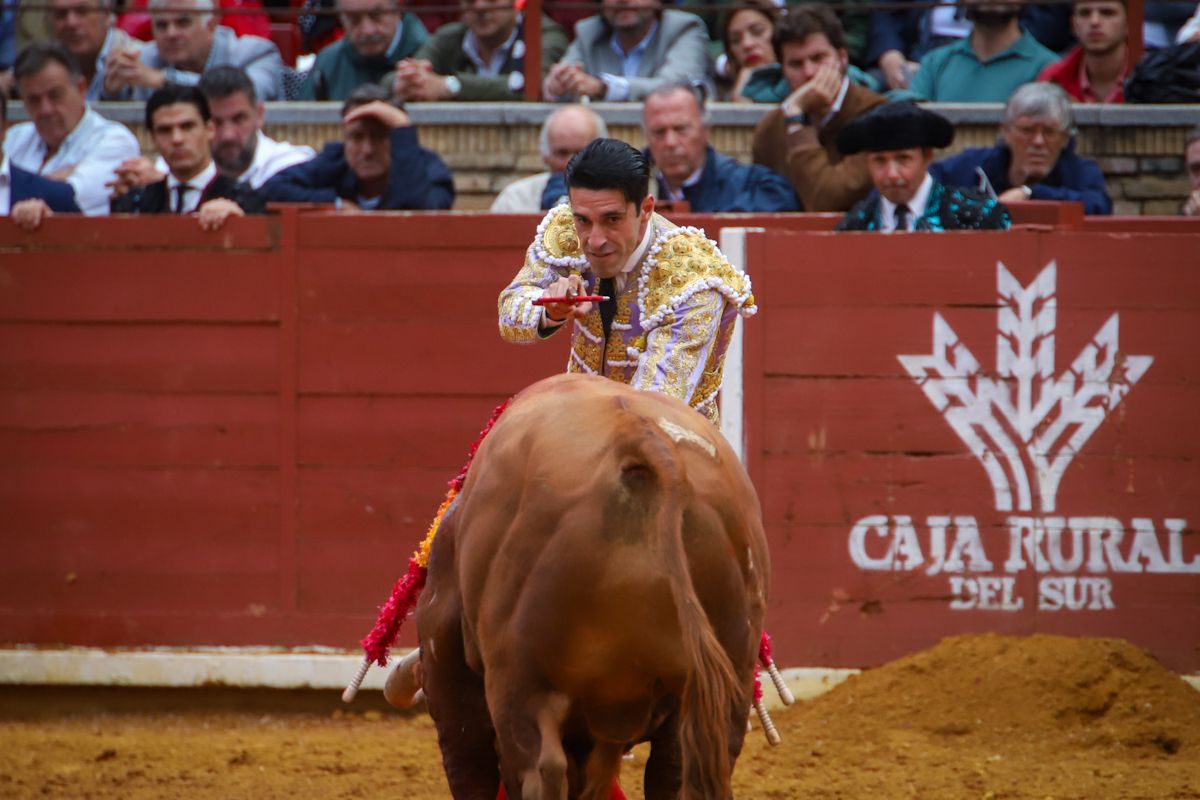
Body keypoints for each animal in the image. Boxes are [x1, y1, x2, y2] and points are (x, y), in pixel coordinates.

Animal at [412, 376, 768, 800]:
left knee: (541, 769)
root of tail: (644, 441)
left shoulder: (449, 669)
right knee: (678, 769)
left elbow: (469, 764)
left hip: (523, 682)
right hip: (723, 685)